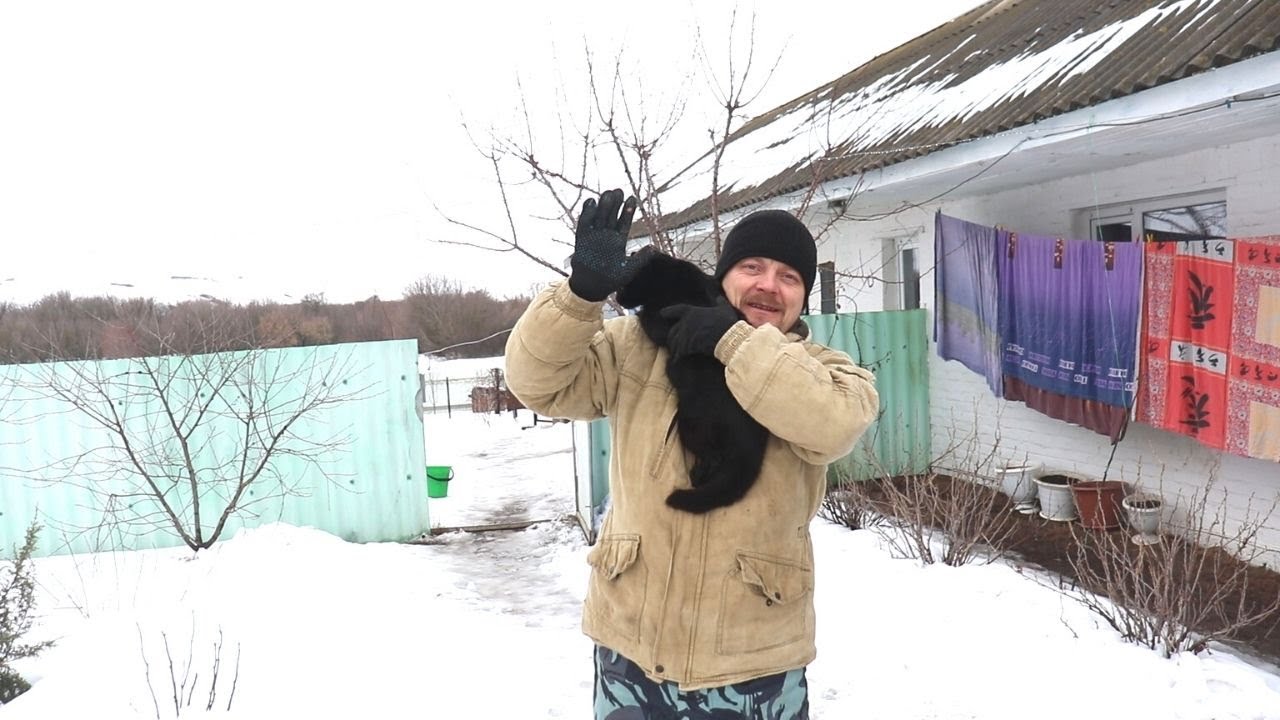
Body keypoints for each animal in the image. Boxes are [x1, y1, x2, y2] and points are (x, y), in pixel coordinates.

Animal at [616, 251, 769, 514]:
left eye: (626, 283)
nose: (616, 297)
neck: (669, 275)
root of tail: (751, 444)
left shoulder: (666, 323)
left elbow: (650, 320)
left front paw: (640, 314)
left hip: (690, 425)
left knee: (714, 458)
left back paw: (698, 475)